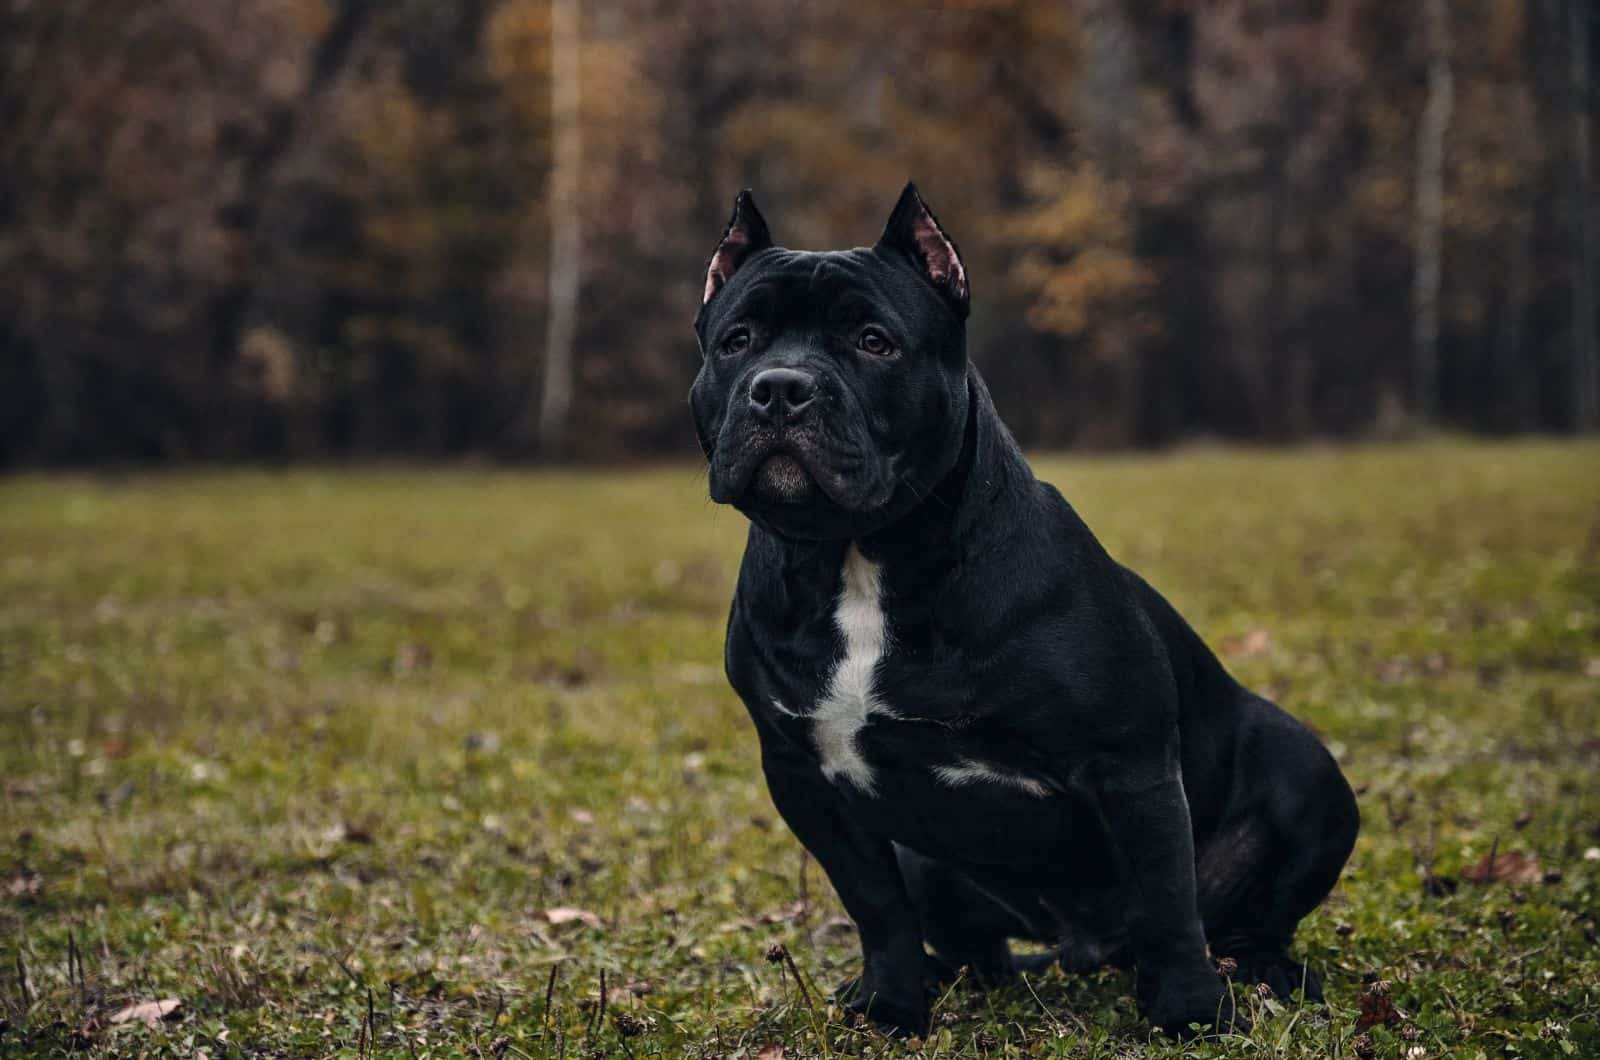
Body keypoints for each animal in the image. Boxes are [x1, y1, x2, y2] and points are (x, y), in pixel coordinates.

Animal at [688, 184, 1363, 1037]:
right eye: (736, 341)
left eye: (876, 342)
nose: (779, 386)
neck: (859, 559)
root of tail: (1084, 948)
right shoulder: (804, 776)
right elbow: (875, 904)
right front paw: (891, 1004)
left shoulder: (1130, 764)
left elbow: (1169, 899)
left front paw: (1190, 1013)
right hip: (932, 865)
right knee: (977, 944)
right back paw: (947, 977)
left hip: (1303, 768)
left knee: (1239, 919)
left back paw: (1264, 972)